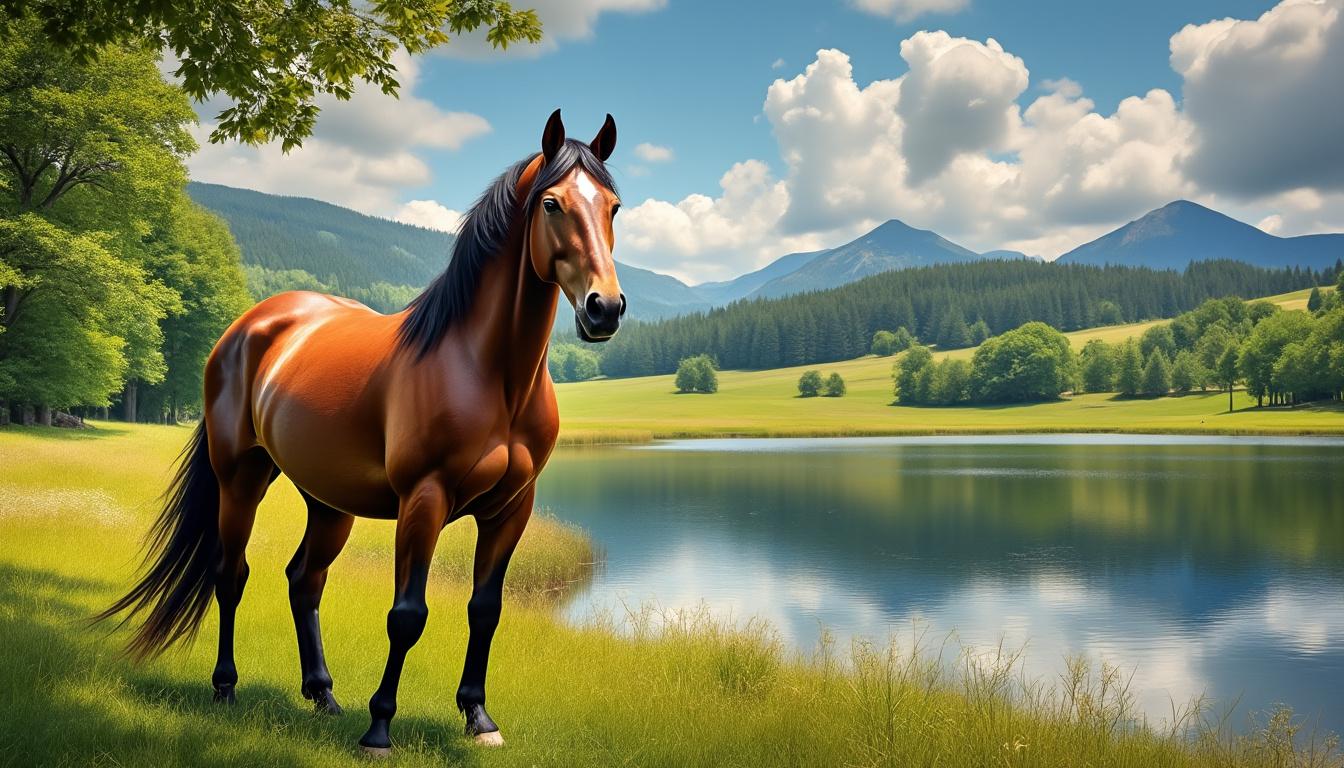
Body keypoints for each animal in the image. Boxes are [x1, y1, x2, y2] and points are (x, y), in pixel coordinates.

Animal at [97, 109, 625, 755]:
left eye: (613, 207)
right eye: (551, 204)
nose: (604, 308)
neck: (488, 372)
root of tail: (249, 326)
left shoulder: (511, 509)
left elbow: (485, 609)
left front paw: (479, 718)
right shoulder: (423, 500)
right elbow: (407, 614)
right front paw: (379, 728)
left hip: (328, 503)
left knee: (304, 580)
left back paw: (323, 694)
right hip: (240, 480)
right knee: (231, 574)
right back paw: (225, 687)